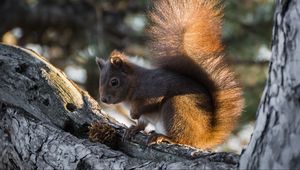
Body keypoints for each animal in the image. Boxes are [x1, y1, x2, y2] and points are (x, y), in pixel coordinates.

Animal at [96, 0, 244, 149]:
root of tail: (204, 137)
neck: (134, 84)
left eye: (114, 82)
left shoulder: (152, 88)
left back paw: (165, 137)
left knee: (183, 138)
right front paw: (133, 128)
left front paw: (134, 114)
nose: (103, 99)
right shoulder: (145, 116)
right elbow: (142, 123)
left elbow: (149, 103)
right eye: (100, 80)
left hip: (176, 107)